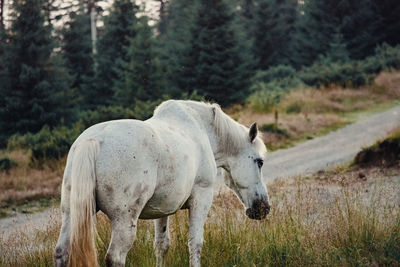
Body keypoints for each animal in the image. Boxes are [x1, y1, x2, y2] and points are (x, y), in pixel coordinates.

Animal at [54, 100, 268, 267]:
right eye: (259, 161)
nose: (263, 208)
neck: (201, 129)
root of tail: (92, 141)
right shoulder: (202, 198)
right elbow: (195, 243)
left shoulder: (162, 210)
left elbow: (161, 245)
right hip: (124, 220)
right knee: (115, 257)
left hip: (70, 215)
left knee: (61, 253)